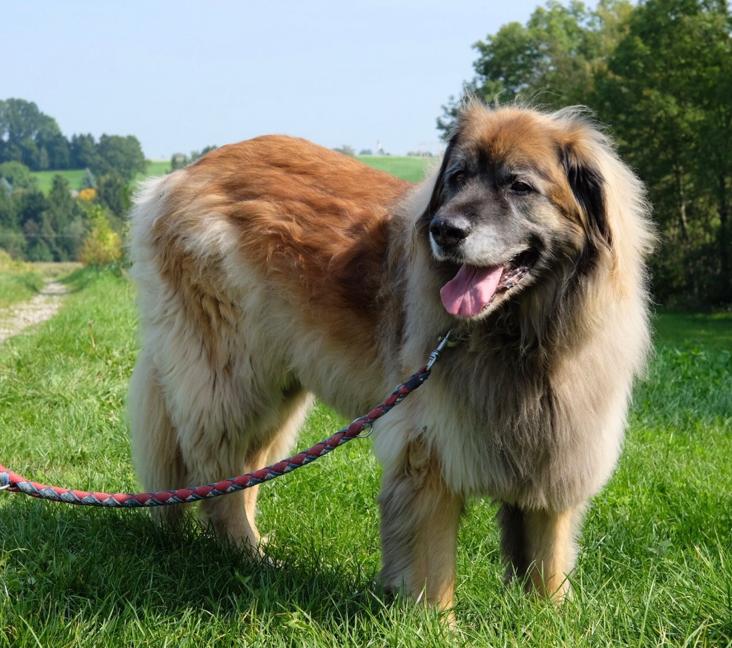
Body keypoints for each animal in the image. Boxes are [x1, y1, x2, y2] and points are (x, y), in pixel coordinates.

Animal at [129, 102, 656, 612]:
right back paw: (245, 553)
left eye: (519, 185)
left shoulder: (558, 450)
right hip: (234, 379)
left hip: (276, 388)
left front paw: (549, 619)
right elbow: (432, 562)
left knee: (245, 469)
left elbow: (547, 557)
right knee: (219, 469)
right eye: (457, 177)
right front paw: (435, 624)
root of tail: (180, 176)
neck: (521, 336)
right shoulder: (428, 448)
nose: (445, 230)